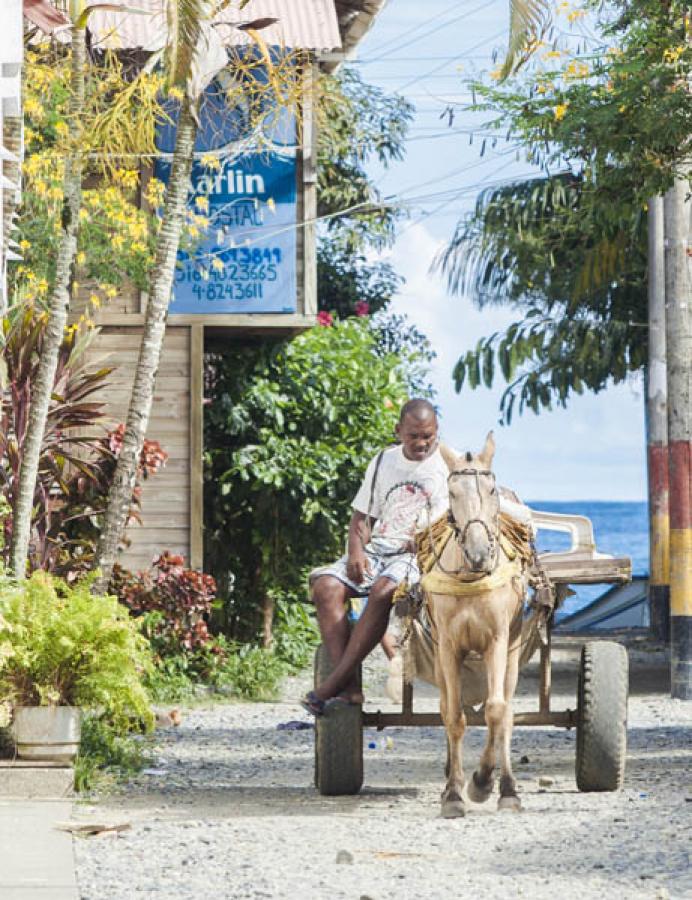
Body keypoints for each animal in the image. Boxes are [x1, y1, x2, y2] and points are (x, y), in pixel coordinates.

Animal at [422, 432, 524, 820]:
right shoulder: (449, 647)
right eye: (452, 493)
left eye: (493, 490)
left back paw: (505, 786)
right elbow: (454, 716)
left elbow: (495, 710)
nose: (480, 554)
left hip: (513, 651)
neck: (470, 577)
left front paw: (484, 783)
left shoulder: (497, 641)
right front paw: (453, 793)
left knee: (506, 712)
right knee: (447, 708)